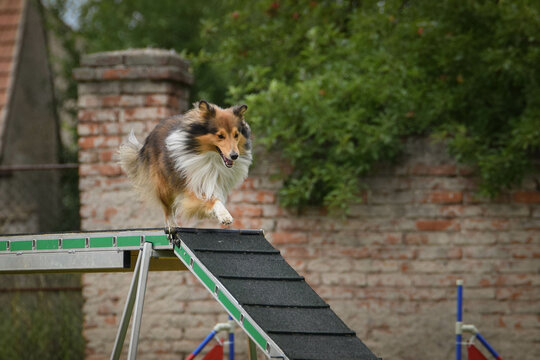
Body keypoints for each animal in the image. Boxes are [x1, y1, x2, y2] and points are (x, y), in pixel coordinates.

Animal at [118, 98, 251, 228]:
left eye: (236, 135)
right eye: (220, 135)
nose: (234, 156)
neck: (211, 158)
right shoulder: (193, 184)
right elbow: (211, 200)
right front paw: (224, 215)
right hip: (163, 184)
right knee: (167, 207)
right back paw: (172, 226)